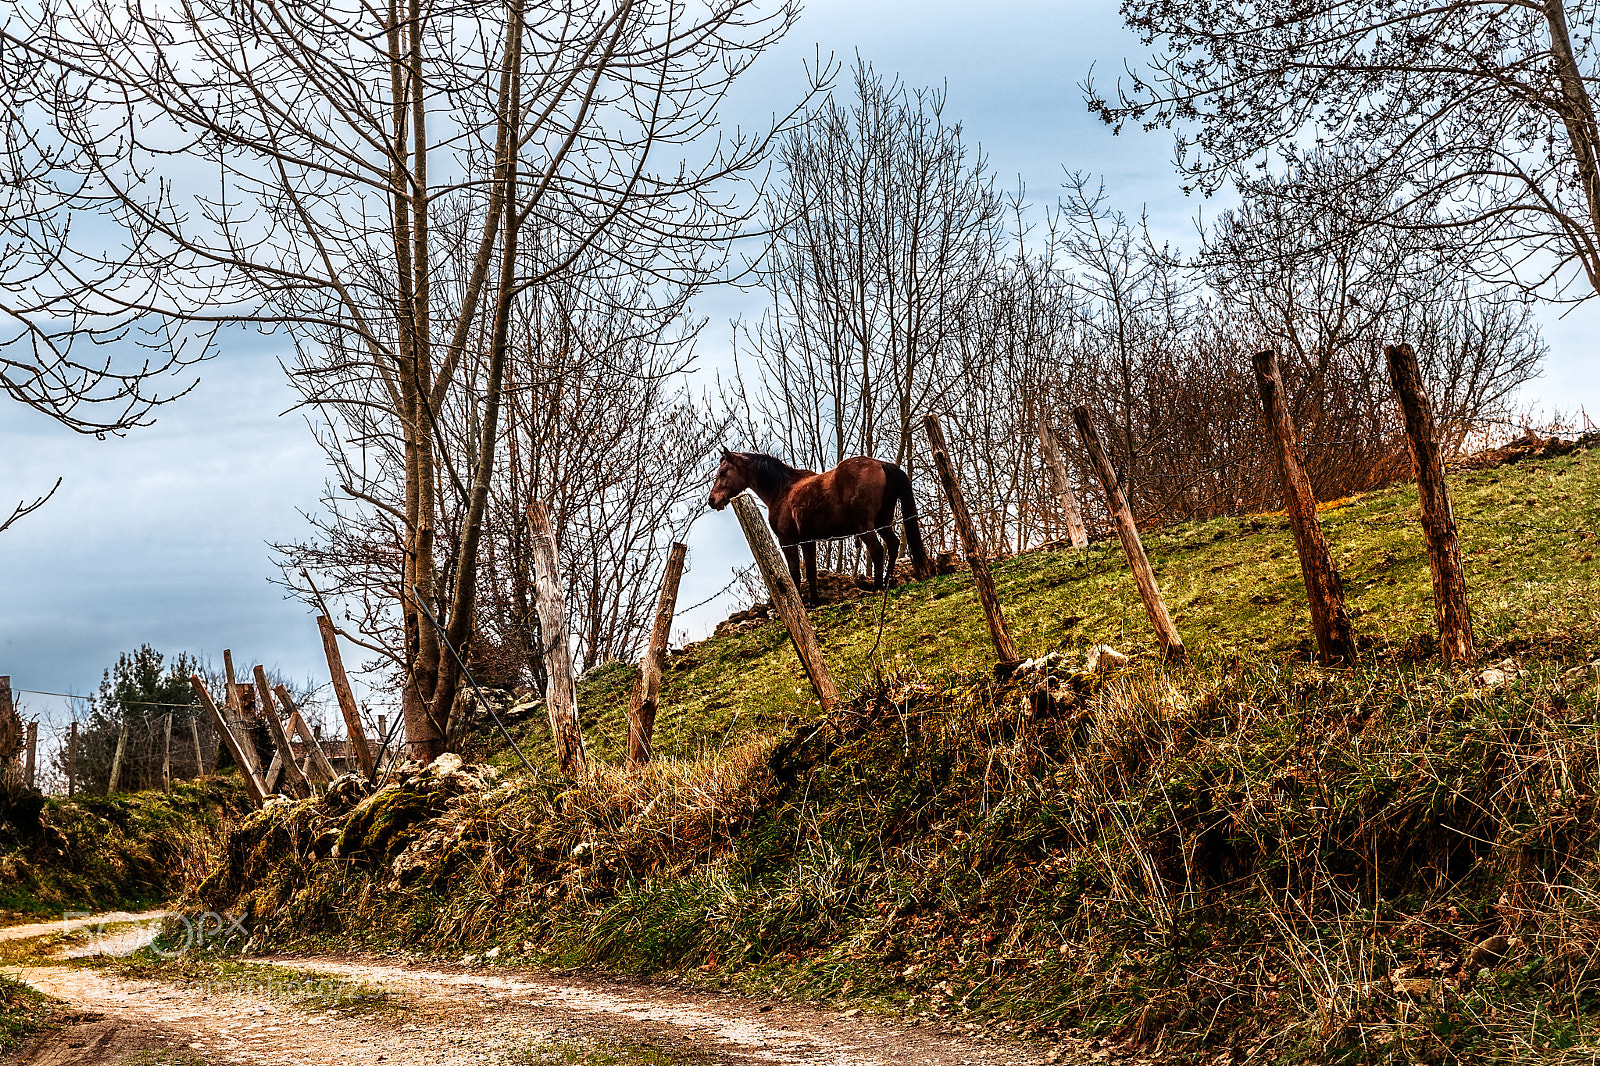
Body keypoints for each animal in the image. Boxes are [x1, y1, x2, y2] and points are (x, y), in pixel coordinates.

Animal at [707, 449, 930, 606]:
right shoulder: (808, 541)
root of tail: (881, 464)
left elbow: (795, 574)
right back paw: (886, 581)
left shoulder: (788, 542)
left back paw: (877, 587)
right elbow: (811, 571)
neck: (782, 490)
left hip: (864, 527)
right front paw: (814, 602)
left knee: (877, 550)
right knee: (893, 545)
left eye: (723, 472)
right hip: (882, 523)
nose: (712, 500)